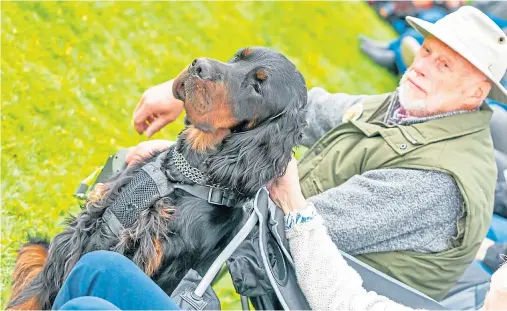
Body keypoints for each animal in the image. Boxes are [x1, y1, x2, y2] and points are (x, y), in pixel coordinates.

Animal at [8, 47, 310, 310]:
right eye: (237, 57)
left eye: (258, 86)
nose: (198, 66)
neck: (181, 174)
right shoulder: (81, 230)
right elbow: (30, 298)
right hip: (36, 247)